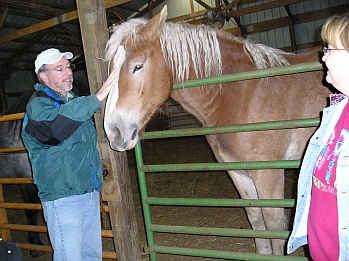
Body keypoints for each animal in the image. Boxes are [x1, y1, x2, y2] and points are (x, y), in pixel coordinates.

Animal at [102, 6, 332, 254]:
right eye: (112, 70)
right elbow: (257, 219)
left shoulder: (268, 172)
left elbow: (274, 225)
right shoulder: (238, 171)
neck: (240, 91)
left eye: (138, 66)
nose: (113, 131)